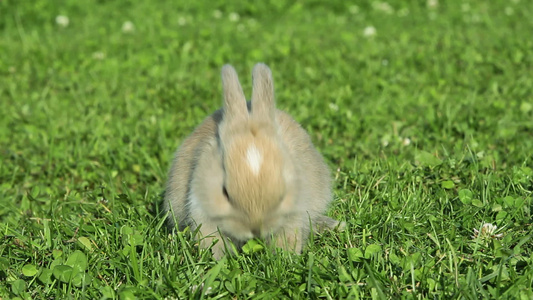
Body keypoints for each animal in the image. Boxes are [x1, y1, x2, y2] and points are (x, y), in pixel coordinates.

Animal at [162, 62, 342, 258]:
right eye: (225, 192)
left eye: (282, 194)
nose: (255, 229)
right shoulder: (202, 209)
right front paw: (217, 260)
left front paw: (285, 258)